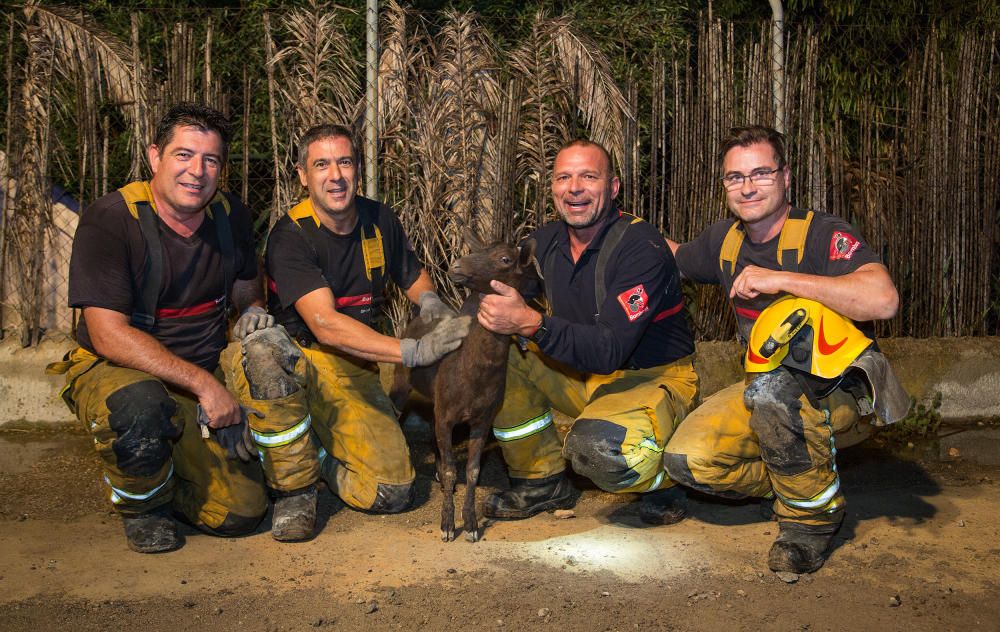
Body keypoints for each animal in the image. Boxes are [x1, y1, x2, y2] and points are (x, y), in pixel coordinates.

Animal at [394, 233, 544, 544]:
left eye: (505, 258)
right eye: (478, 249)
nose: (456, 266)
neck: (474, 374)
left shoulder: (482, 419)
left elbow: (473, 471)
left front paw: (472, 524)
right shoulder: (447, 415)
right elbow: (454, 471)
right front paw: (447, 525)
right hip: (402, 383)